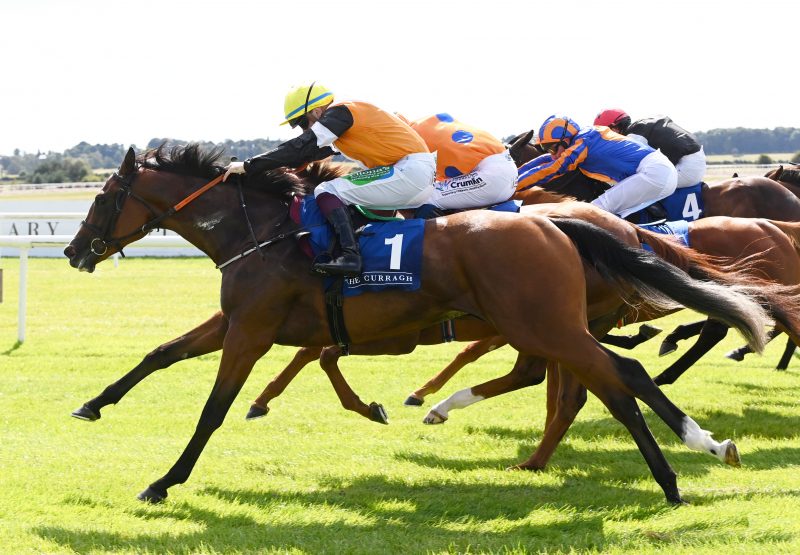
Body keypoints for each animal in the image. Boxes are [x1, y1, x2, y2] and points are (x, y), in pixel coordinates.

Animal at [67, 143, 768, 504]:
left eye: (103, 197)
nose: (75, 251)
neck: (262, 232)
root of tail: (559, 222)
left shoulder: (252, 331)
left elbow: (213, 408)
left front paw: (164, 482)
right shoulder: (238, 321)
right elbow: (161, 353)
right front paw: (93, 404)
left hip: (544, 324)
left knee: (617, 376)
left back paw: (681, 468)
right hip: (548, 326)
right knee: (607, 383)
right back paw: (687, 456)